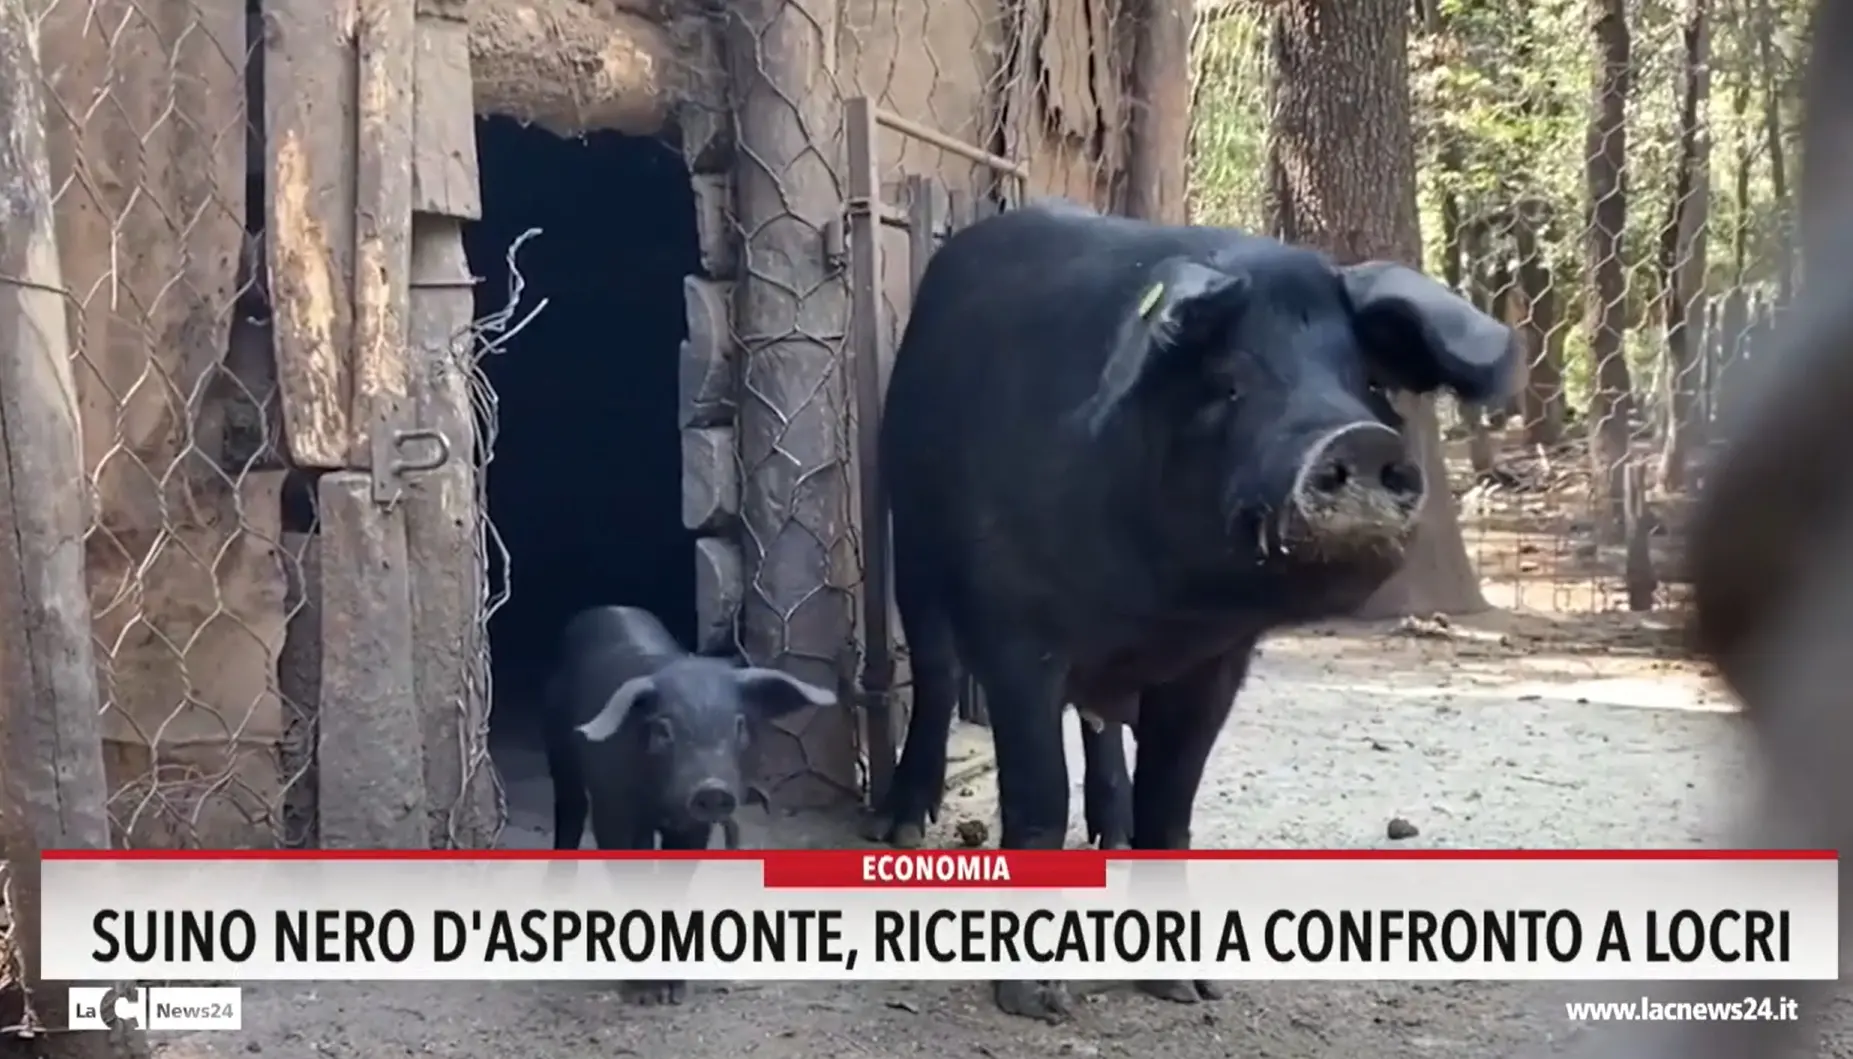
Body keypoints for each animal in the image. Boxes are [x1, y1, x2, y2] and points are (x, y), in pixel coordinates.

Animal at [874, 198, 1512, 1014]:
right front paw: (1037, 1001)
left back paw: (1109, 837)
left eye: (1368, 384)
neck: (1161, 602)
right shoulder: (1015, 629)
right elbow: (1037, 794)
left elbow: (1170, 805)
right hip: (911, 535)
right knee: (935, 672)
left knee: (1102, 729)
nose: (1361, 439)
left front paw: (1188, 987)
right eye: (1229, 383)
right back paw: (897, 829)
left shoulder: (1216, 659)